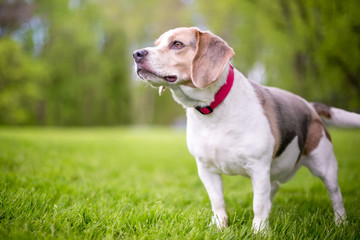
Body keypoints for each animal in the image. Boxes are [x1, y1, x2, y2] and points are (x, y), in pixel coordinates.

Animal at [133, 27, 360, 232]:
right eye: (156, 44)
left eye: (177, 44)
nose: (136, 54)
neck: (213, 110)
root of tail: (310, 106)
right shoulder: (206, 169)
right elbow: (217, 201)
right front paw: (219, 226)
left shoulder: (258, 167)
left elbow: (258, 204)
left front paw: (259, 231)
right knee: (272, 191)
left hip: (325, 165)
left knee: (335, 195)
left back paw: (340, 222)